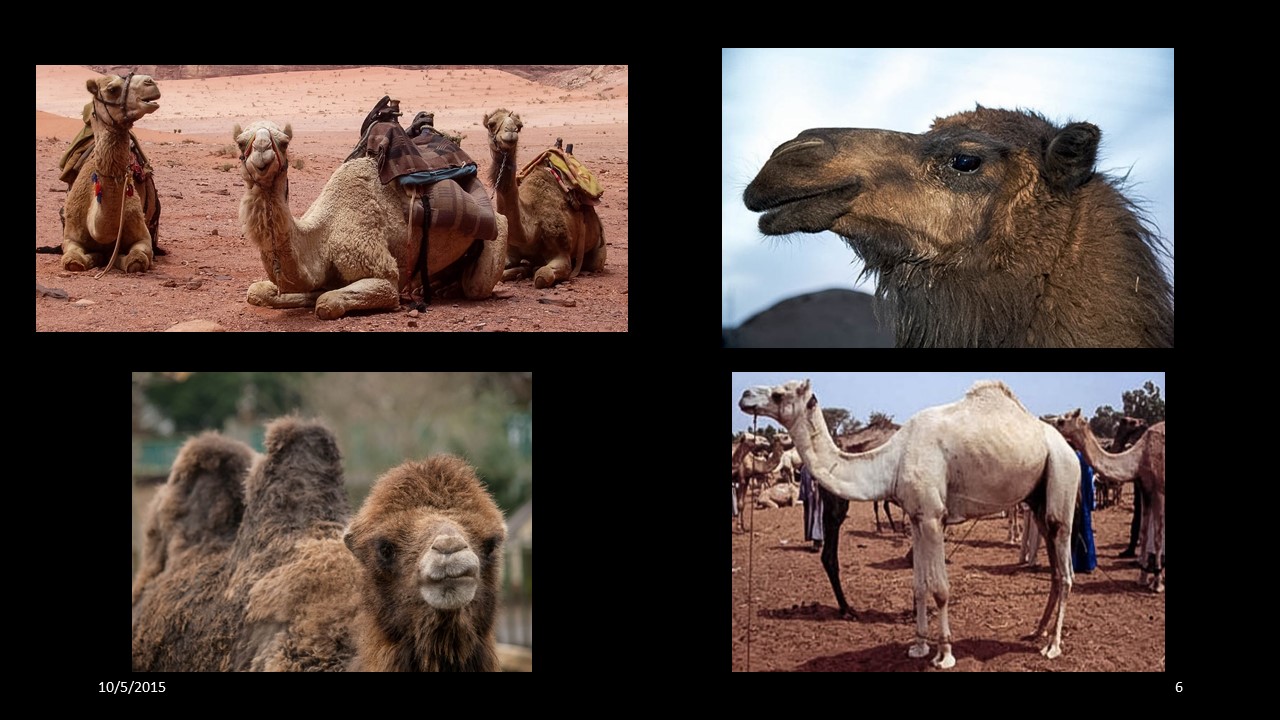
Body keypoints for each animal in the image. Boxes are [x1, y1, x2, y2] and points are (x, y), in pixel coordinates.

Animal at [61, 73, 161, 274]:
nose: (150, 81)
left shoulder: (143, 238)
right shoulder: (70, 239)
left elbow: (136, 260)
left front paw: (116, 258)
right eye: (112, 89)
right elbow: (73, 261)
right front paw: (93, 257)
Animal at [233, 120, 507, 319]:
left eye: (284, 142)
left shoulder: (381, 270)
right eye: (240, 142)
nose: (262, 154)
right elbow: (256, 291)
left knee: (480, 278)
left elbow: (328, 301)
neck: (324, 234)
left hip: (494, 231)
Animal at [483, 109, 605, 289]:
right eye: (491, 124)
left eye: (519, 126)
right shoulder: (510, 252)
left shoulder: (562, 253)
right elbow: (502, 274)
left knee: (595, 263)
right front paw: (519, 272)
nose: (510, 132)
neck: (531, 228)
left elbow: (542, 276)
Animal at [740, 379, 1080, 668]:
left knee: (1065, 571)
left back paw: (1053, 646)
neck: (893, 458)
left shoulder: (933, 516)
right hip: (1038, 500)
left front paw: (945, 654)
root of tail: (1068, 448)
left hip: (1063, 479)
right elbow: (918, 585)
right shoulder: (917, 518)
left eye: (779, 394)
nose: (744, 395)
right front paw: (918, 646)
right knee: (1054, 569)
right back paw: (1037, 632)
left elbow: (940, 588)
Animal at [1053, 409, 1166, 592]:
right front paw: (1142, 577)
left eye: (1062, 421)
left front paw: (1157, 582)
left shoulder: (1159, 490)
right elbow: (1144, 532)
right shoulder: (1145, 489)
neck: (1141, 457)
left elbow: (1157, 537)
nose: (1049, 423)